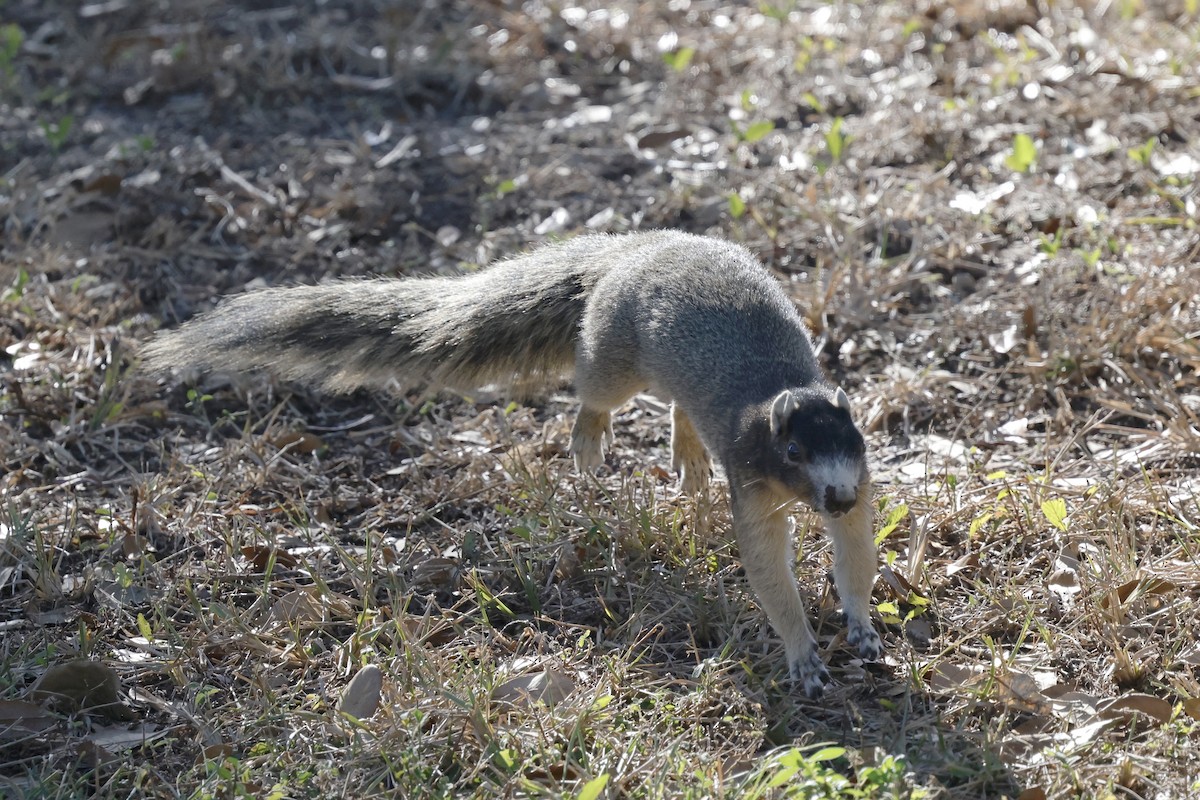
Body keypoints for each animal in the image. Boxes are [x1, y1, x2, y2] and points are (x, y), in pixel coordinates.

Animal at [143, 230, 882, 698]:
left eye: (857, 440)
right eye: (793, 451)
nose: (838, 494)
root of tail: (636, 249)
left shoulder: (860, 490)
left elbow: (854, 554)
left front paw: (863, 627)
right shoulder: (755, 488)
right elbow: (768, 570)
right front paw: (804, 658)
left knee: (678, 407)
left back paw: (687, 457)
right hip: (615, 354)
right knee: (595, 392)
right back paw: (589, 441)